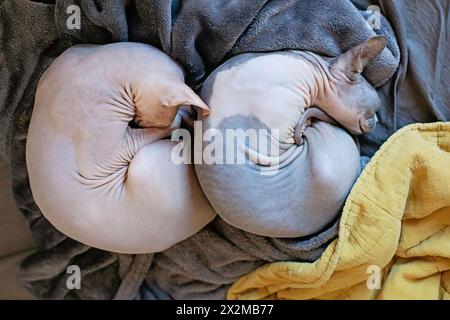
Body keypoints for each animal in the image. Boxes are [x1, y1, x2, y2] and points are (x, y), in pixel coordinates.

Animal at [26, 42, 216, 254]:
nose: (137, 123)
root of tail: (210, 212)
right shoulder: (110, 149)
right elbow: (171, 125)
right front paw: (180, 117)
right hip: (145, 165)